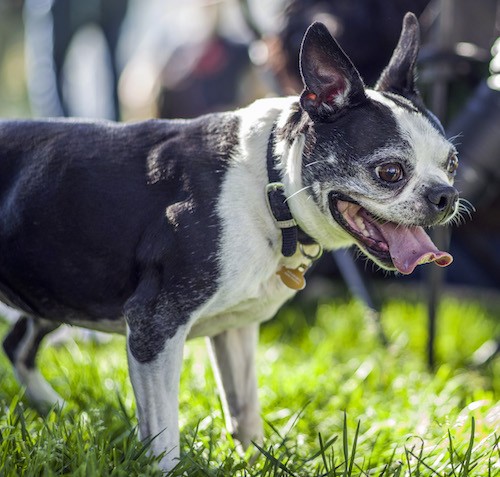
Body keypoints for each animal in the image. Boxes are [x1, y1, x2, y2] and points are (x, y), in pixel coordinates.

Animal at [0, 13, 460, 470]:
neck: (271, 182)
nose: (446, 195)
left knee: (17, 344)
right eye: (390, 172)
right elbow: (163, 435)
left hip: (54, 288)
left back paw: (59, 412)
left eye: (452, 164)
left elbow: (244, 410)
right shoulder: (154, 325)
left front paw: (259, 462)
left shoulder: (235, 327)